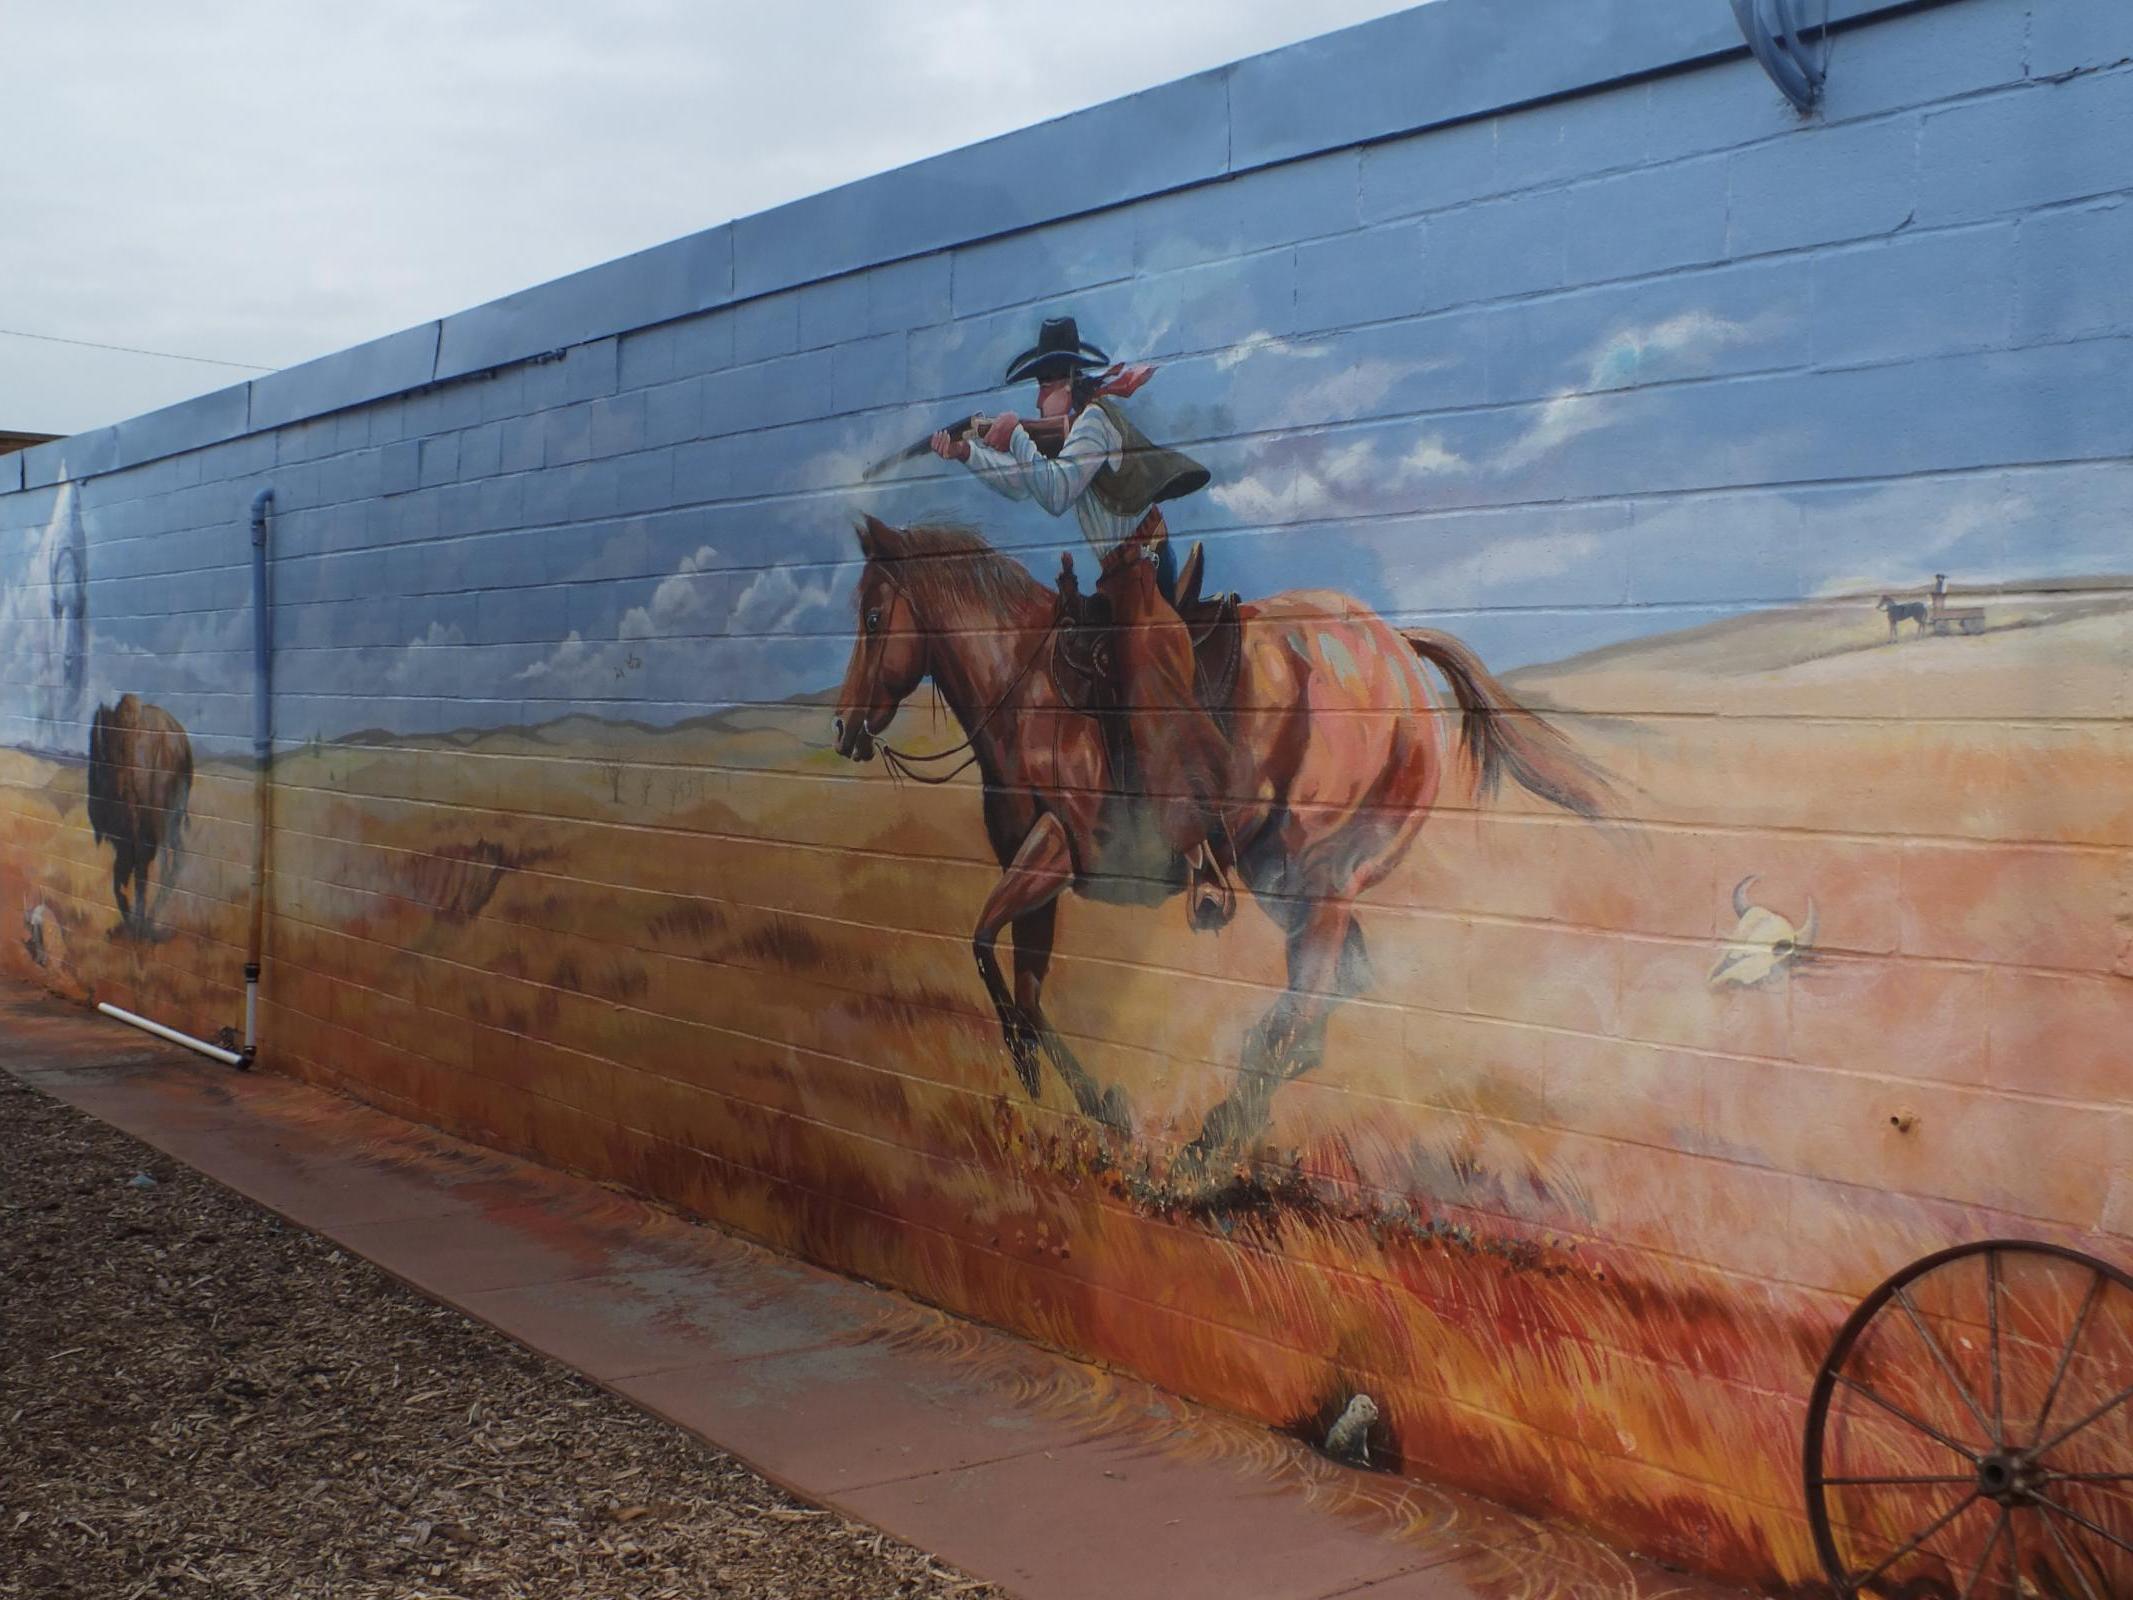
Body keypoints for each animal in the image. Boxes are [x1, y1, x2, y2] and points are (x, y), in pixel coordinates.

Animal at [86, 691, 193, 938]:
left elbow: (128, 873)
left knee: (155, 865)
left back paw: (140, 924)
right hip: (171, 817)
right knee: (173, 859)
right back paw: (146, 923)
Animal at [831, 520, 1604, 1160]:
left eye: (872, 616)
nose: (844, 727)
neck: (1031, 694)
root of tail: (1399, 653)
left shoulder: (1055, 852)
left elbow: (988, 950)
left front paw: (1079, 1095)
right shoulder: (1036, 875)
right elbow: (1020, 981)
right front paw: (1077, 1097)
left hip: (1314, 876)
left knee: (1307, 1002)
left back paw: (1214, 1139)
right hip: (1295, 881)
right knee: (1331, 995)